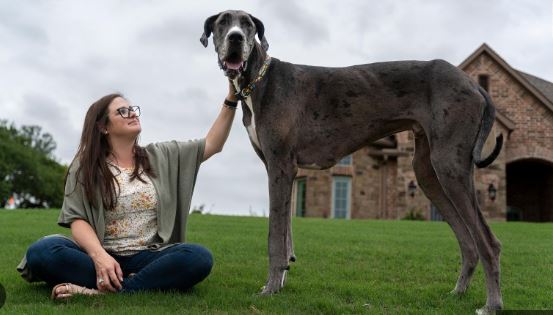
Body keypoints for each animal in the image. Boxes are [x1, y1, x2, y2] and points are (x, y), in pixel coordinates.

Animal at [201, 10, 502, 315]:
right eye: (223, 23)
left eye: (248, 24)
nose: (235, 38)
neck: (259, 80)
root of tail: (474, 84)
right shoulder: (283, 172)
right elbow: (285, 234)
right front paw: (281, 281)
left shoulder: (280, 167)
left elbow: (275, 236)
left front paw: (270, 288)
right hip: (428, 173)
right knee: (468, 242)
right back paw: (458, 293)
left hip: (449, 166)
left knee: (488, 242)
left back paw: (492, 304)